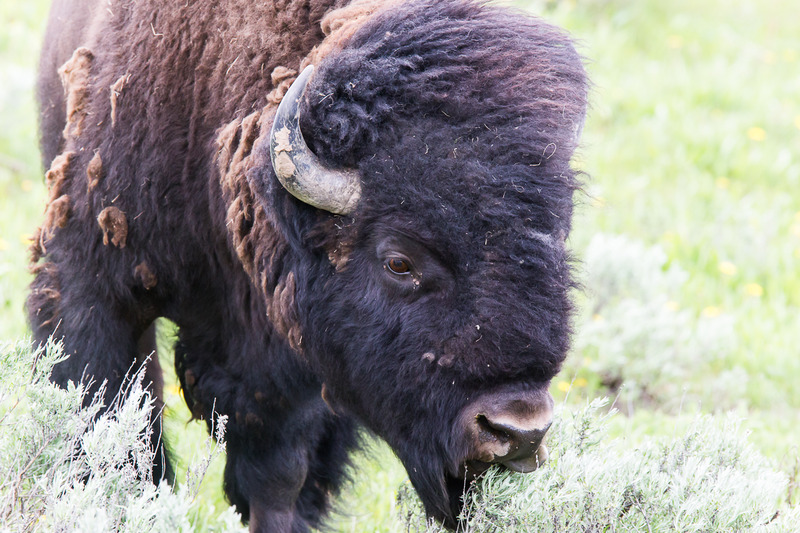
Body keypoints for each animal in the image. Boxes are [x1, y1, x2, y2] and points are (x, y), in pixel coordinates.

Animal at [29, 0, 588, 530]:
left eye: (556, 245)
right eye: (399, 261)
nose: (517, 430)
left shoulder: (293, 360)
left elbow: (279, 476)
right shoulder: (91, 287)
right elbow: (109, 431)